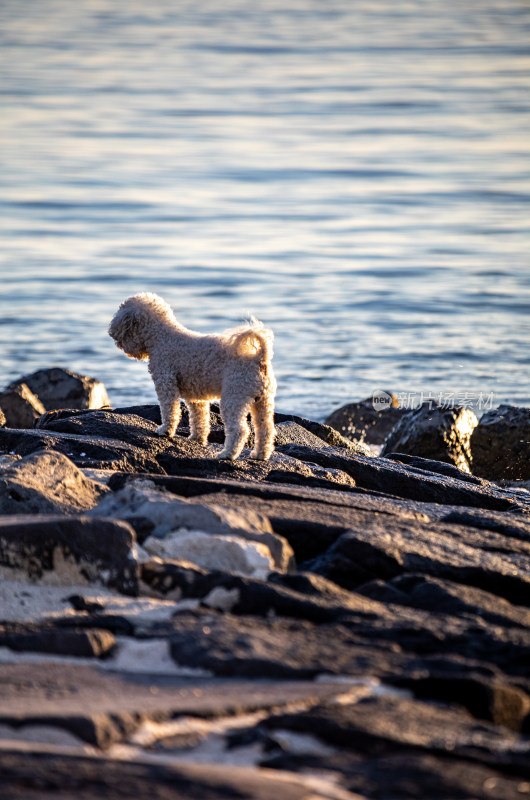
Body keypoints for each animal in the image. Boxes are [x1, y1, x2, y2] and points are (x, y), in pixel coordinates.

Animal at [106, 294, 274, 460]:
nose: (113, 335)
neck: (162, 337)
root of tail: (259, 358)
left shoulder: (166, 383)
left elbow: (170, 411)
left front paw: (165, 431)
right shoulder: (196, 397)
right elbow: (199, 419)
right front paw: (197, 439)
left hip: (234, 397)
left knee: (240, 430)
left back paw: (227, 454)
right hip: (263, 401)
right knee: (266, 429)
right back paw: (260, 455)